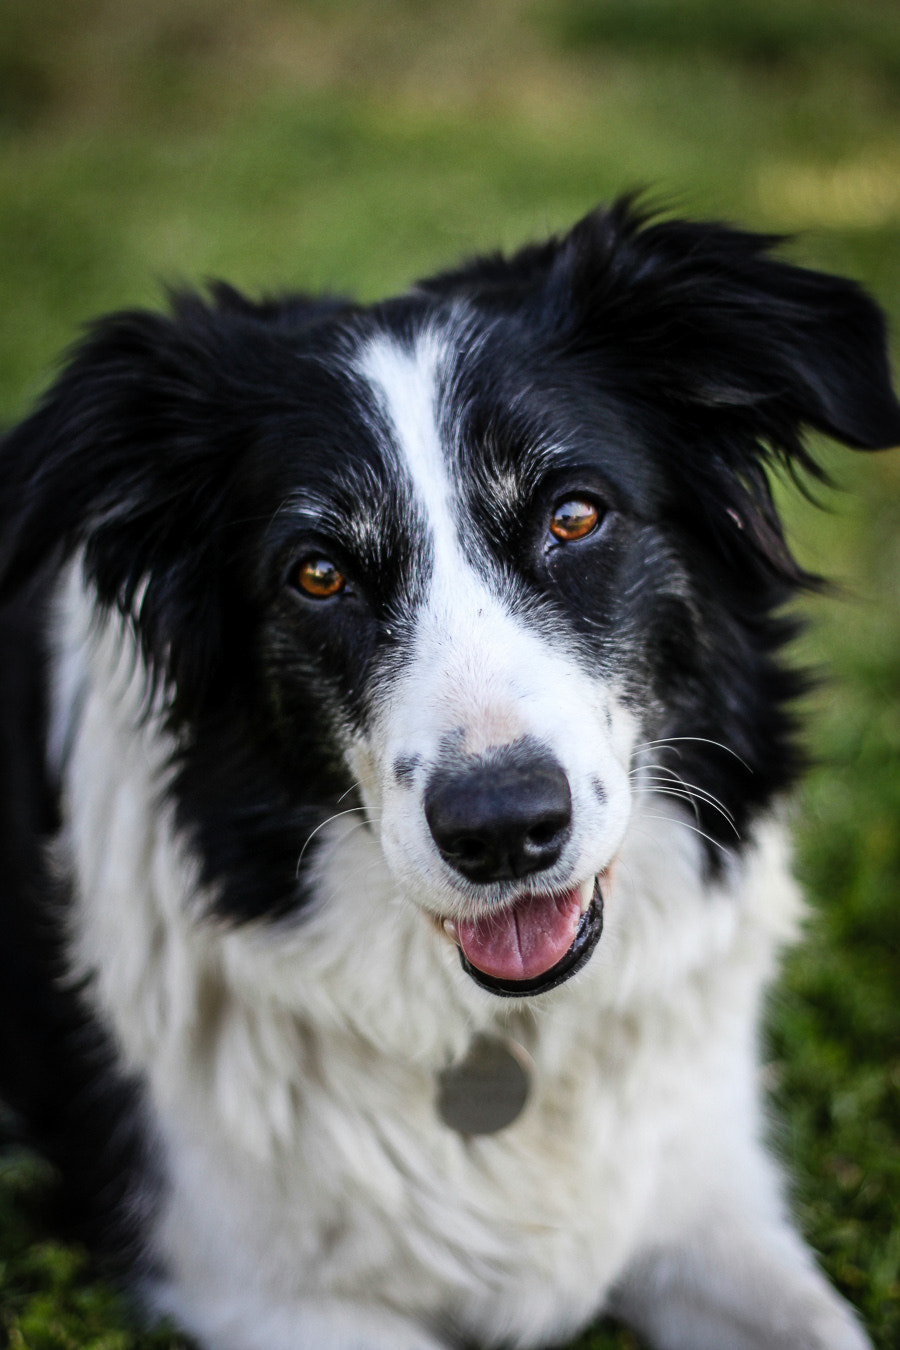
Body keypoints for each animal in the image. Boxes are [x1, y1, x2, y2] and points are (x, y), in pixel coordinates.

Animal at [0, 202, 895, 1350]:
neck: (498, 1030)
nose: (503, 829)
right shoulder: (255, 1285)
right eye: (318, 574)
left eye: (574, 515)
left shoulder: (708, 1195)